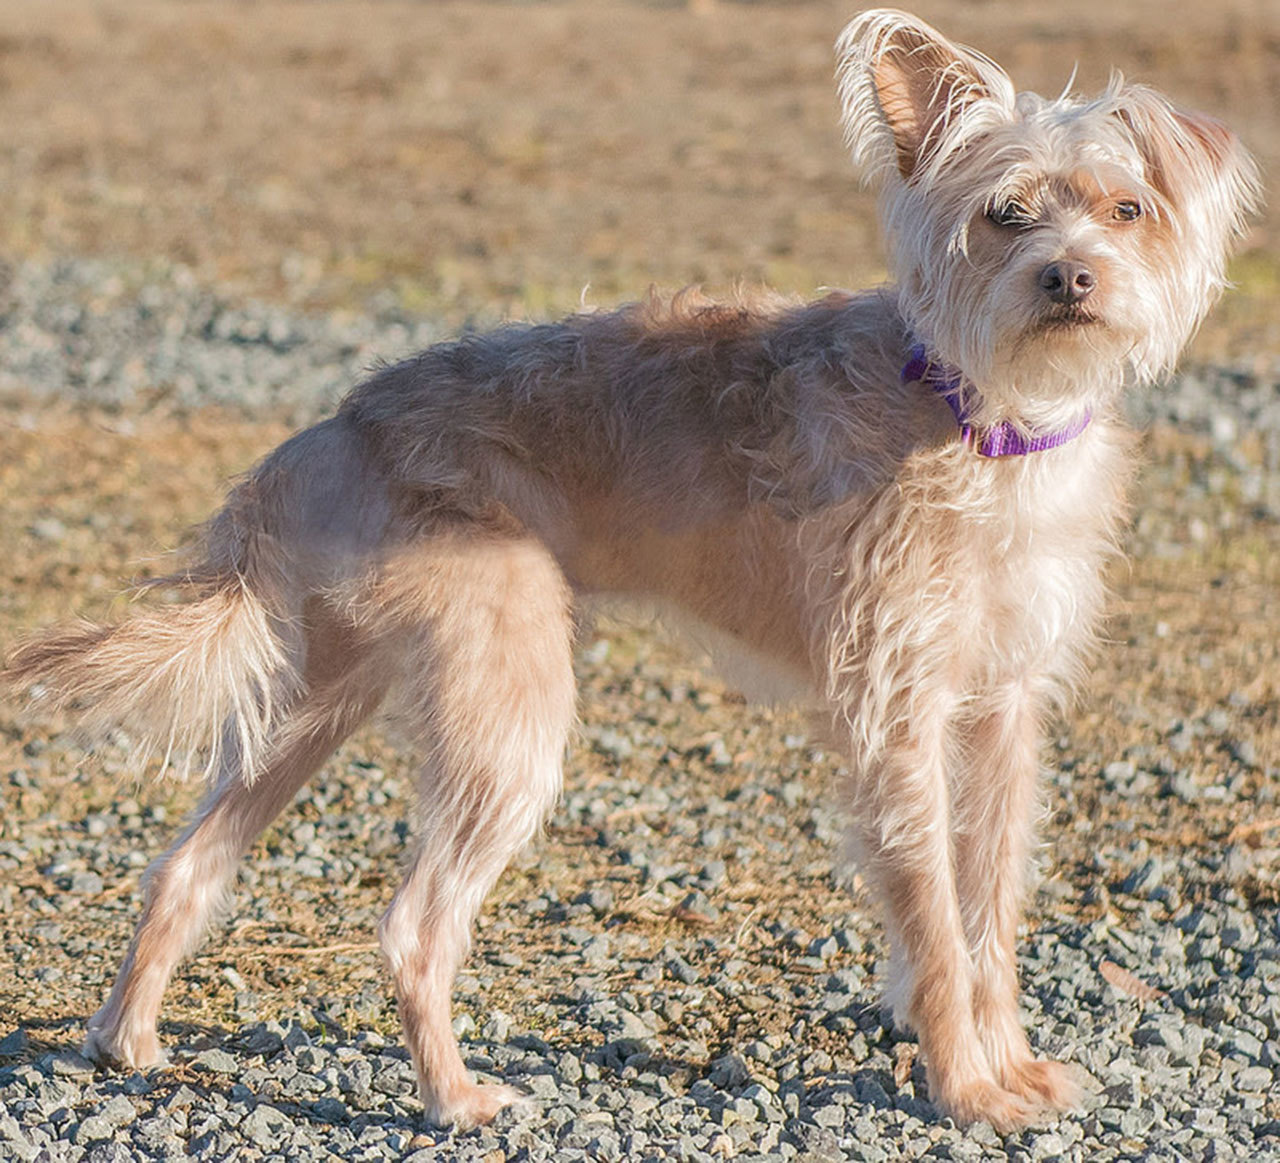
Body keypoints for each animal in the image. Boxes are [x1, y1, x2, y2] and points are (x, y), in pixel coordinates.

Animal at [2, 6, 1259, 1136]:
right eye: (1004, 216)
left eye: (1127, 208)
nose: (1069, 278)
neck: (980, 417)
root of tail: (339, 424)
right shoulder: (894, 718)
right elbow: (938, 927)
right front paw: (965, 1090)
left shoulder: (999, 713)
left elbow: (988, 913)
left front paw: (1010, 1066)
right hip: (506, 718)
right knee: (411, 926)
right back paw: (456, 1098)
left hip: (308, 707)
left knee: (184, 866)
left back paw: (126, 1036)